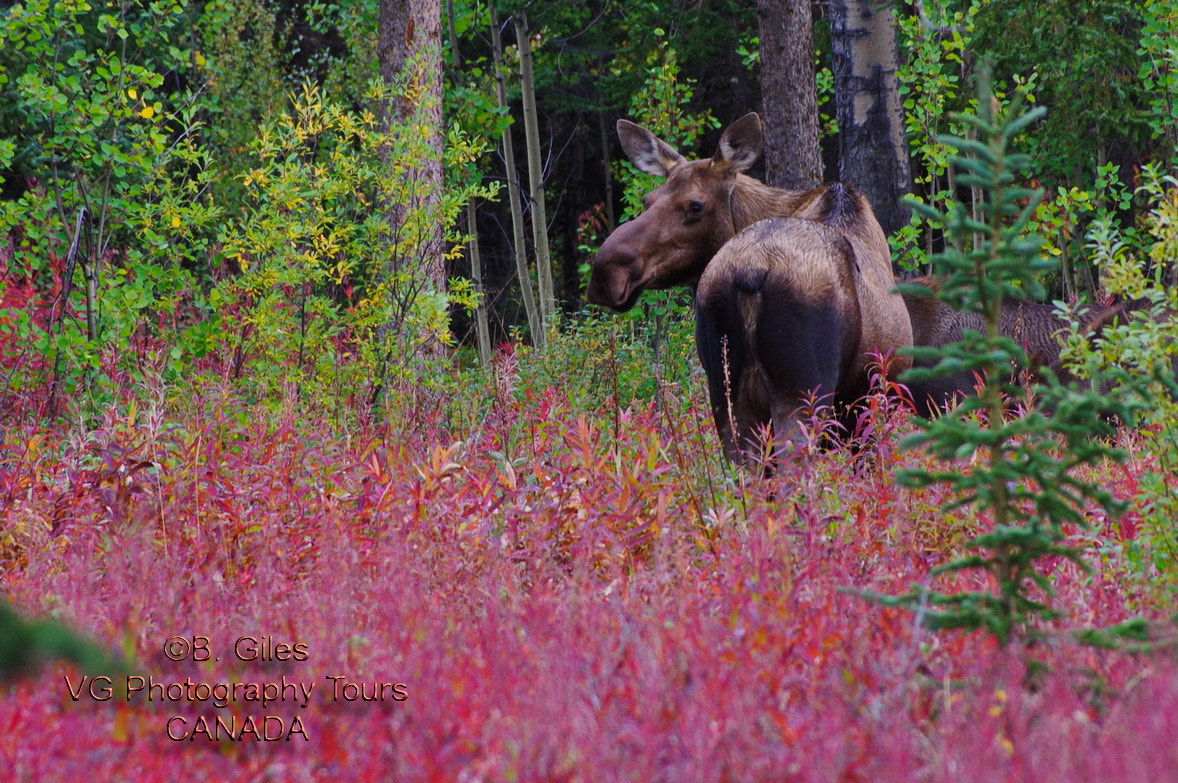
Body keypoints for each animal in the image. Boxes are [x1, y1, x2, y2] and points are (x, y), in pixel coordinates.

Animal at [586, 113, 909, 461]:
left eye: (695, 206)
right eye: (648, 201)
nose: (606, 272)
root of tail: (751, 271)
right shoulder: (870, 406)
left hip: (725, 391)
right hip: (803, 392)